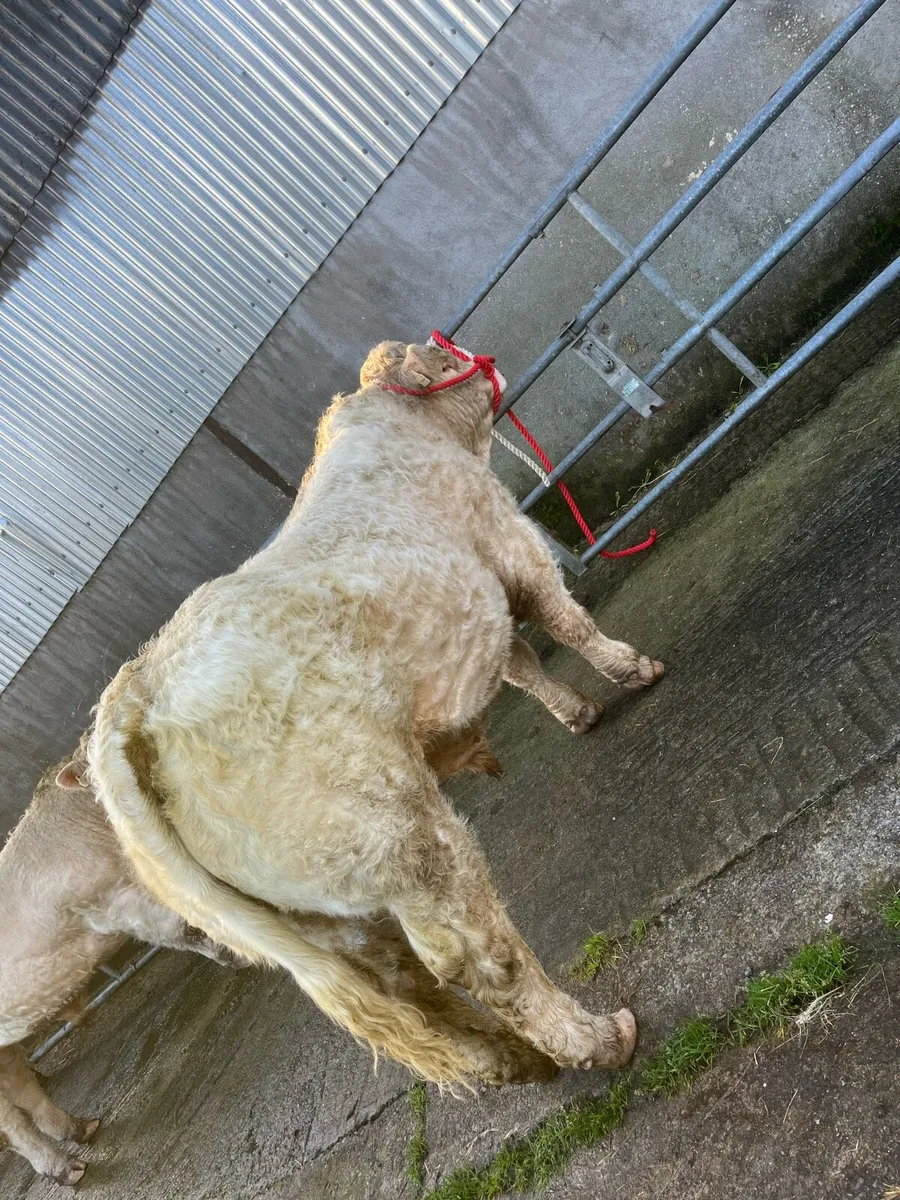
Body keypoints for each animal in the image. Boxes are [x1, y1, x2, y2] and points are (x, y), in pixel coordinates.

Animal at [89, 337, 664, 1091]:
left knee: (402, 982)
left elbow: (519, 660)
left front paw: (577, 711)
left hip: (317, 913)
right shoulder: (508, 545)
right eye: (441, 352)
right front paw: (631, 670)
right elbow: (564, 623)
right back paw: (596, 1039)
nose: (483, 356)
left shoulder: (473, 598)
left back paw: (508, 1060)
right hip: (403, 839)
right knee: (472, 956)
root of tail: (135, 697)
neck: (418, 429)